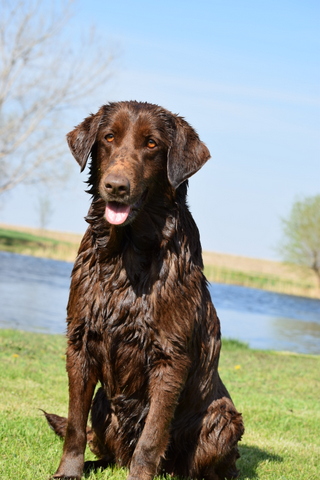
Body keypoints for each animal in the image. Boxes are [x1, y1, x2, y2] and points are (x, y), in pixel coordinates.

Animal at [45, 99, 244, 478]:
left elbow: (152, 436)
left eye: (151, 144)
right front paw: (68, 471)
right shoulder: (79, 341)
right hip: (103, 403)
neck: (126, 253)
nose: (116, 186)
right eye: (108, 137)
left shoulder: (171, 356)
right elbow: (75, 424)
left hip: (222, 419)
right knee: (106, 447)